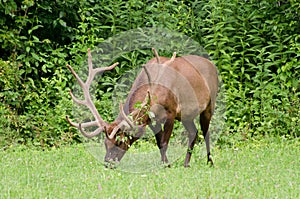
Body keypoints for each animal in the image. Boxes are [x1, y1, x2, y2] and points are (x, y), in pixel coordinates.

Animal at [66, 47, 218, 167]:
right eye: (105, 143)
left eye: (120, 142)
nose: (108, 163)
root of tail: (212, 64)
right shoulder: (151, 119)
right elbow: (159, 143)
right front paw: (165, 163)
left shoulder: (171, 112)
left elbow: (164, 142)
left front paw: (166, 165)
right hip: (186, 115)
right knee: (194, 132)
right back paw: (186, 163)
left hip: (210, 104)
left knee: (206, 132)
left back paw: (210, 162)